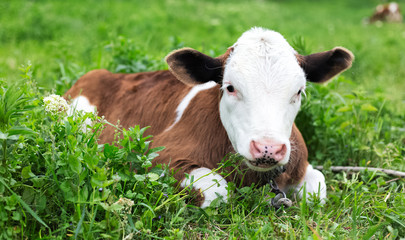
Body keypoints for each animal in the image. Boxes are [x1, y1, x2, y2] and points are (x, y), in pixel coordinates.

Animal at [64, 27, 352, 208]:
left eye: (299, 91)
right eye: (230, 87)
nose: (268, 148)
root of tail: (101, 73)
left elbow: (317, 189)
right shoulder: (156, 157)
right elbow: (218, 189)